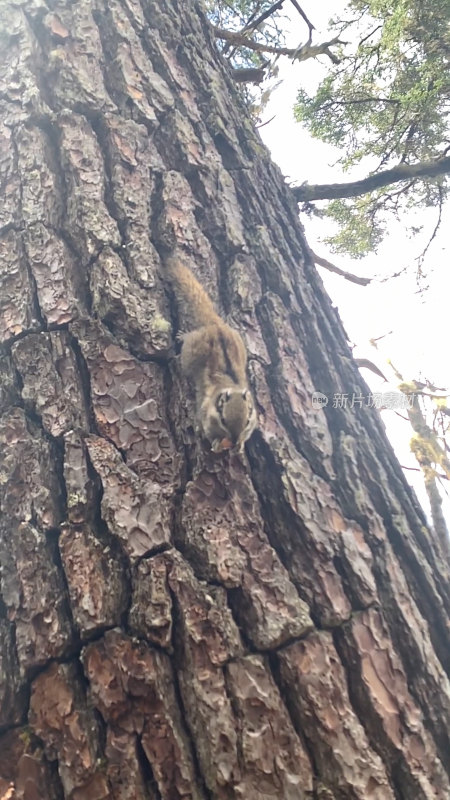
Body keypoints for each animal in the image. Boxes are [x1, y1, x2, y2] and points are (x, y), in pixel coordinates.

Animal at [165, 256, 256, 450]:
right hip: (190, 354)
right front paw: (215, 443)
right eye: (223, 420)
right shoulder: (205, 416)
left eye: (246, 422)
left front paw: (239, 446)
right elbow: (206, 431)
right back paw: (184, 336)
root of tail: (216, 325)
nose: (234, 440)